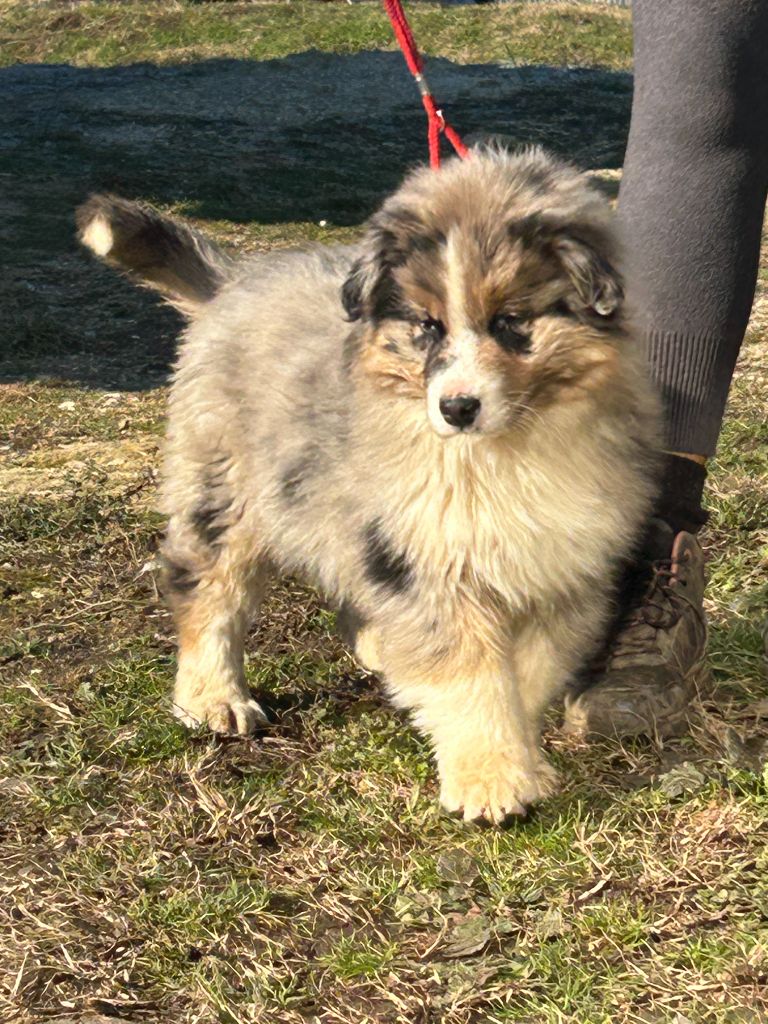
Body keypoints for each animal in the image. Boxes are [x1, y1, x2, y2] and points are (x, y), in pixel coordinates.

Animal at [79, 149, 663, 823]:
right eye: (427, 326)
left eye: (510, 322)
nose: (456, 408)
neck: (504, 447)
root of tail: (235, 282)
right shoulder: (429, 559)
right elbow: (472, 675)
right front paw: (490, 781)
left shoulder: (560, 569)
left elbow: (526, 673)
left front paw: (524, 763)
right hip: (229, 487)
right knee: (207, 585)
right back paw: (214, 699)